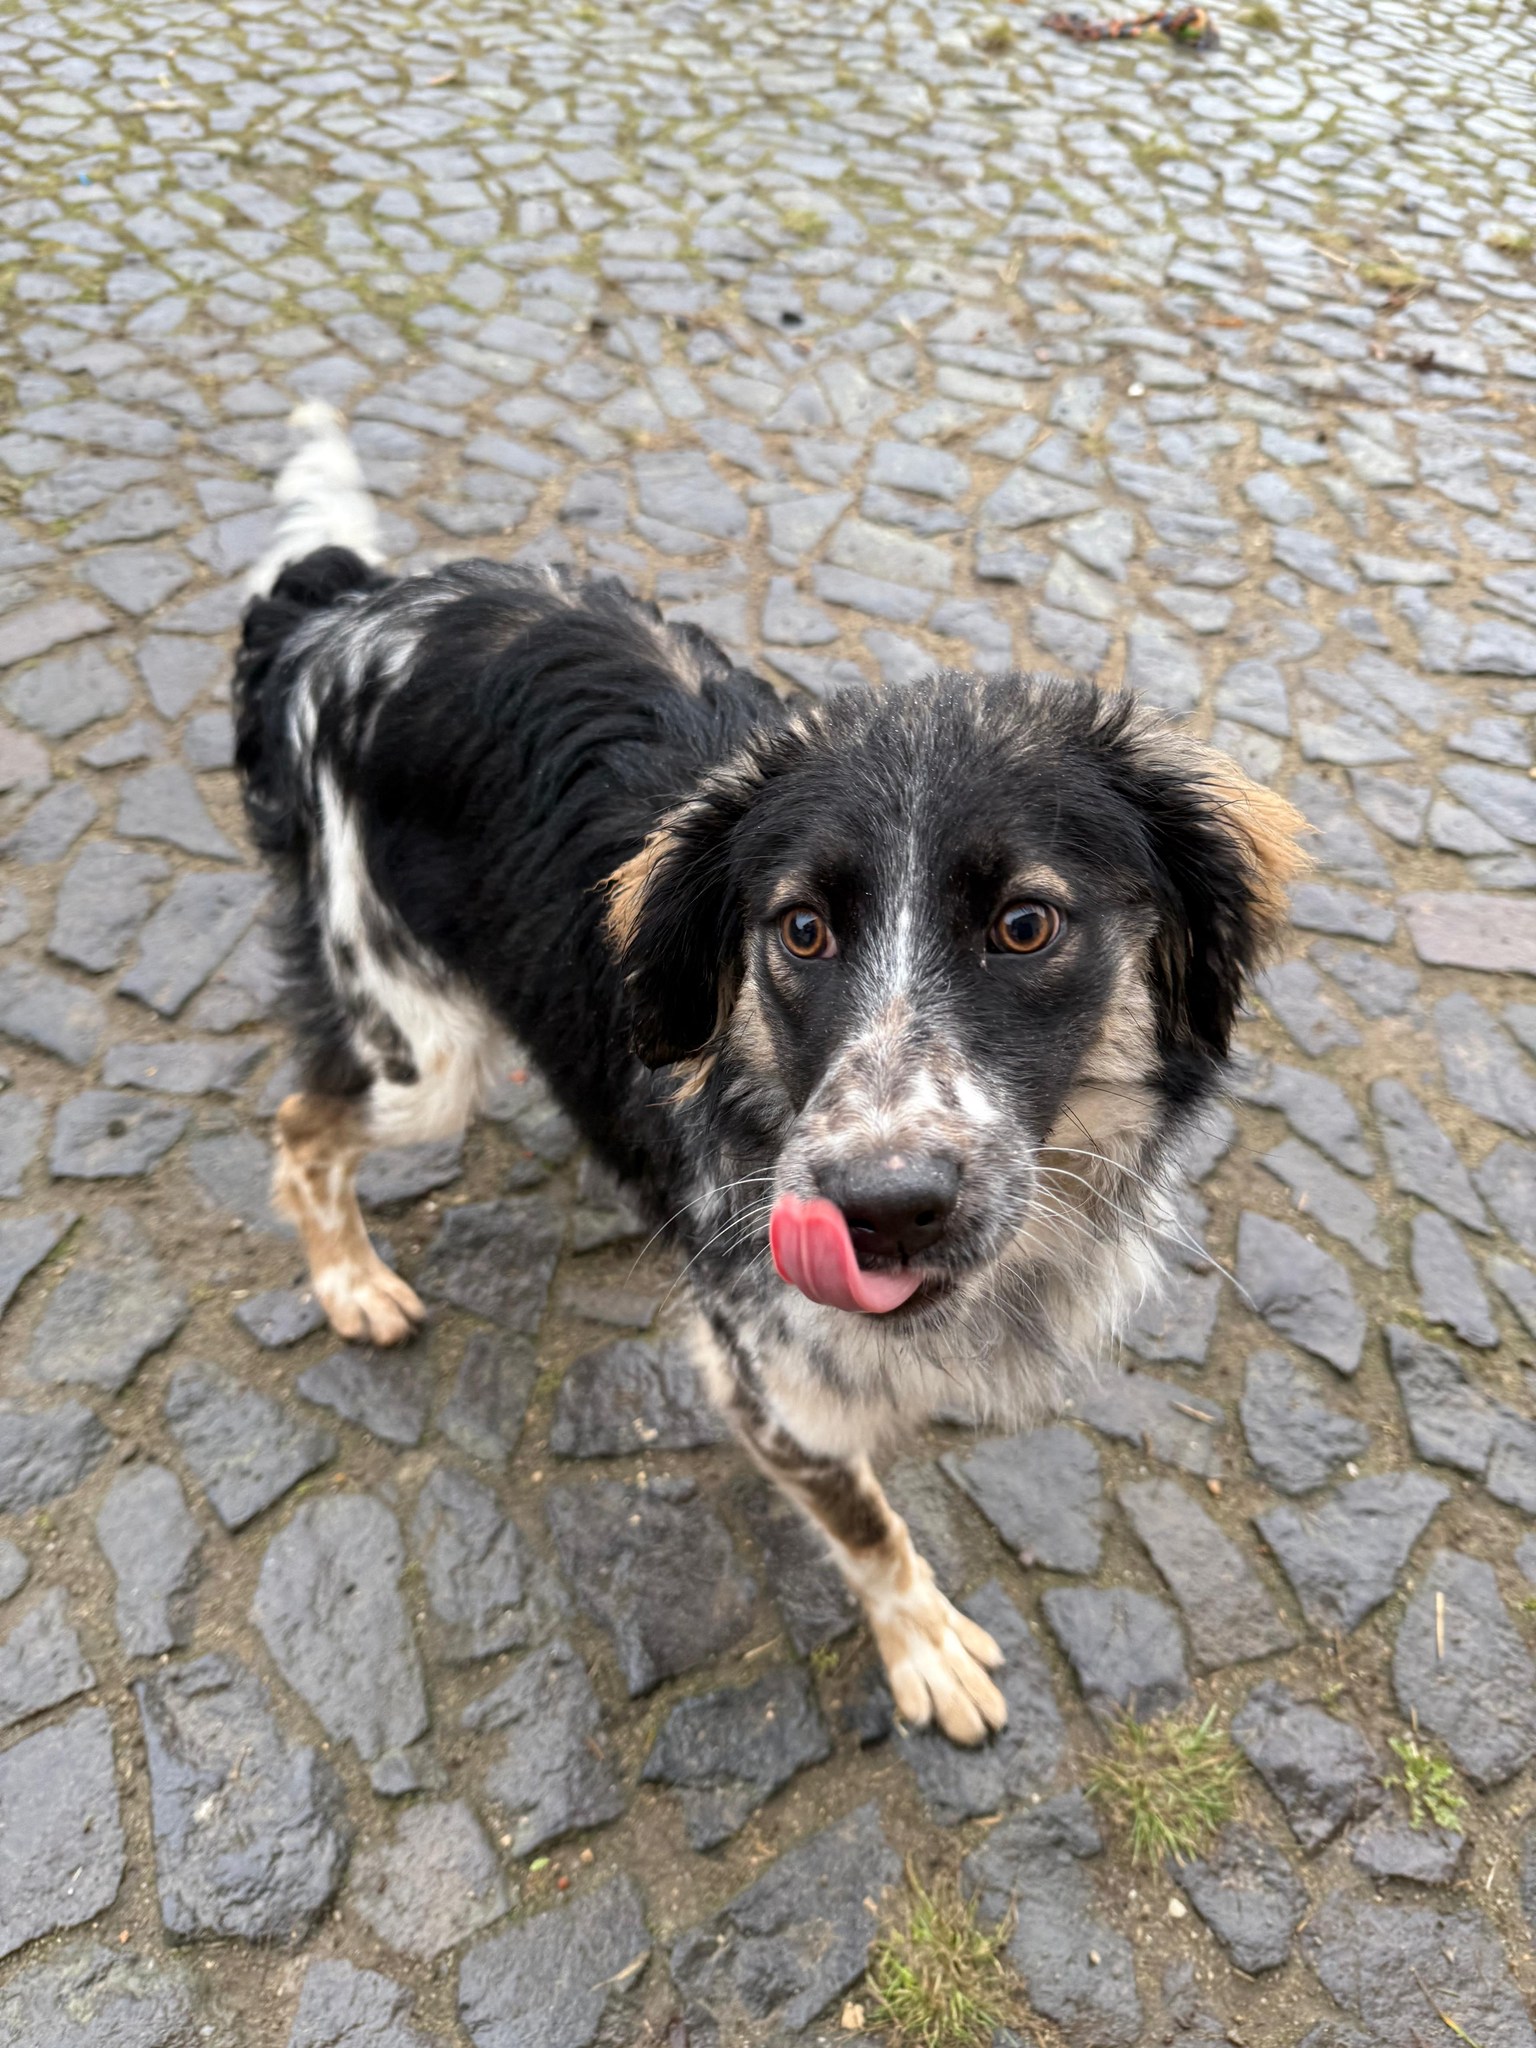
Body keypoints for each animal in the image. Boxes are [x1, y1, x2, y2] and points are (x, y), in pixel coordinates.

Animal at [234, 405, 1305, 1744]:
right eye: (800, 930)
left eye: (1025, 924)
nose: (884, 1211)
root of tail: (339, 610)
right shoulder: (768, 1378)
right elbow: (867, 1520)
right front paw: (923, 1644)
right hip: (416, 1047)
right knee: (298, 1126)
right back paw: (351, 1282)